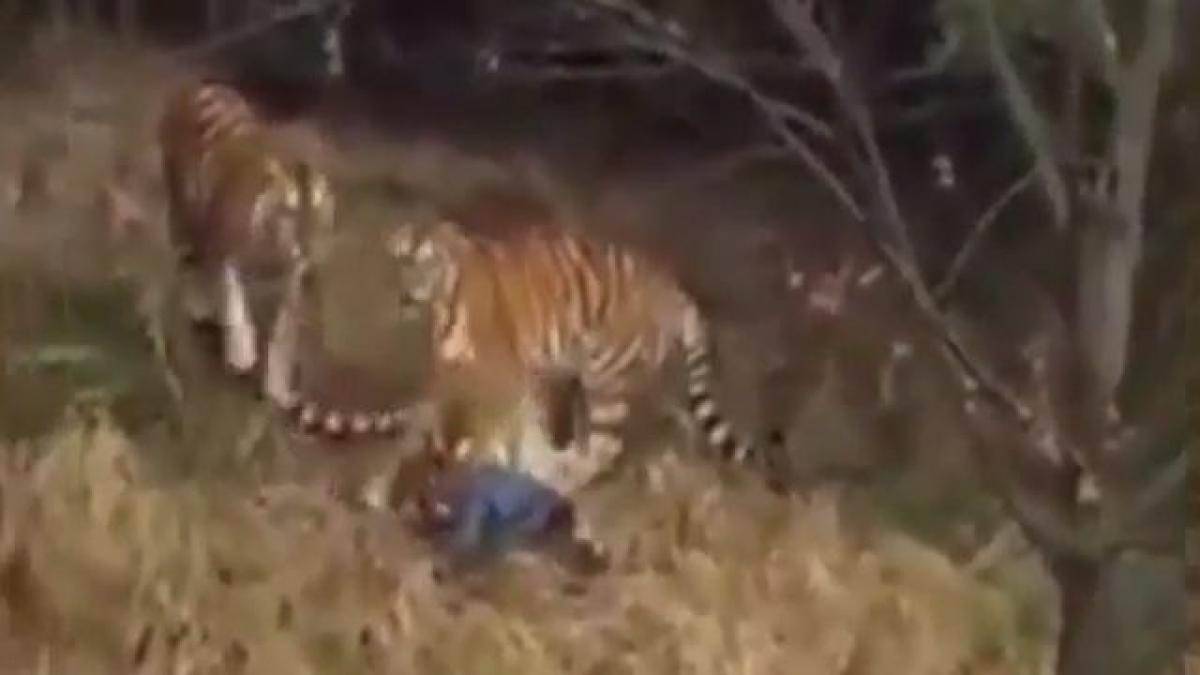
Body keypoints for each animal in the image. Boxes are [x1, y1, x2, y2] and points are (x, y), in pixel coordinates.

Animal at [158, 79, 335, 404]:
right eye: (290, 212)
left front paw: (277, 388)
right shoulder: (224, 250)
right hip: (184, 210)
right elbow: (233, 300)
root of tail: (199, 86)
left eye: (317, 212)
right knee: (189, 259)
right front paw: (242, 354)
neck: (274, 245)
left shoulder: (292, 281)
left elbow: (283, 336)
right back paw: (199, 306)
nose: (307, 248)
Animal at [276, 203, 771, 498]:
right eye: (402, 260)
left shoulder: (500, 377)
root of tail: (672, 285)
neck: (444, 298)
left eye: (427, 263)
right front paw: (382, 485)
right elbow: (420, 425)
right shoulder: (450, 372)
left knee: (604, 448)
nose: (406, 293)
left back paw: (558, 481)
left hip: (608, 378)